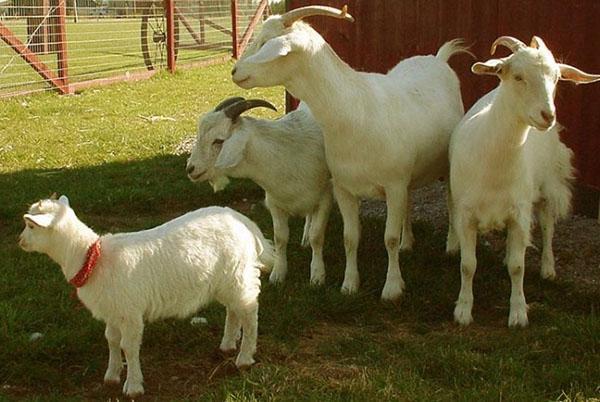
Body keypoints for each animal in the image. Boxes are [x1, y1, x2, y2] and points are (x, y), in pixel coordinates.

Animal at [17, 196, 274, 398]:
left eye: (30, 225)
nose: (20, 241)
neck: (91, 257)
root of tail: (243, 221)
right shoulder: (113, 310)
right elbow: (111, 340)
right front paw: (111, 376)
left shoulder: (130, 312)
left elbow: (128, 347)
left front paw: (133, 386)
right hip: (227, 279)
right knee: (234, 309)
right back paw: (228, 345)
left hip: (238, 273)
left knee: (250, 311)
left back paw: (244, 357)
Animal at [230, 4, 468, 300]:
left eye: (265, 42)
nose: (235, 71)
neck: (357, 109)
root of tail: (438, 58)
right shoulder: (344, 188)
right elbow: (350, 238)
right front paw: (349, 284)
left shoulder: (393, 184)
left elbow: (388, 238)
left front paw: (392, 287)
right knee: (409, 201)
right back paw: (408, 242)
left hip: (444, 164)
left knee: (450, 200)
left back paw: (452, 245)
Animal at [448, 36, 596, 328]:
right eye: (517, 76)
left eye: (557, 78)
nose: (547, 115)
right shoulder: (466, 214)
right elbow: (468, 265)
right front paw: (463, 310)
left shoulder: (520, 213)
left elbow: (518, 267)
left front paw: (518, 313)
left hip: (546, 186)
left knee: (548, 226)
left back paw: (548, 268)